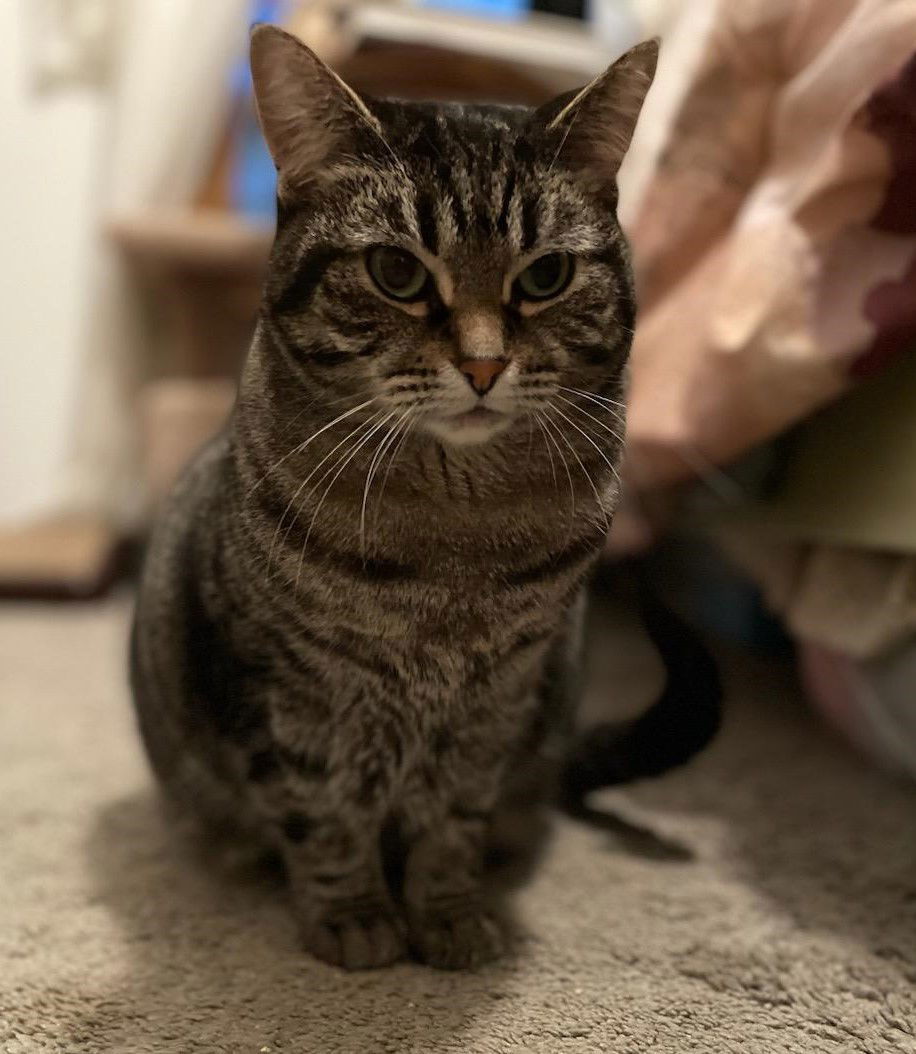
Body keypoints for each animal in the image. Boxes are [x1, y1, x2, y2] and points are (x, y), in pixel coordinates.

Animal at [130, 22, 657, 969]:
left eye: (547, 275)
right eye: (396, 272)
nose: (484, 365)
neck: (452, 544)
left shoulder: (499, 697)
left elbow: (454, 818)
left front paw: (447, 916)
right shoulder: (288, 695)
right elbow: (325, 816)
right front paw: (354, 919)